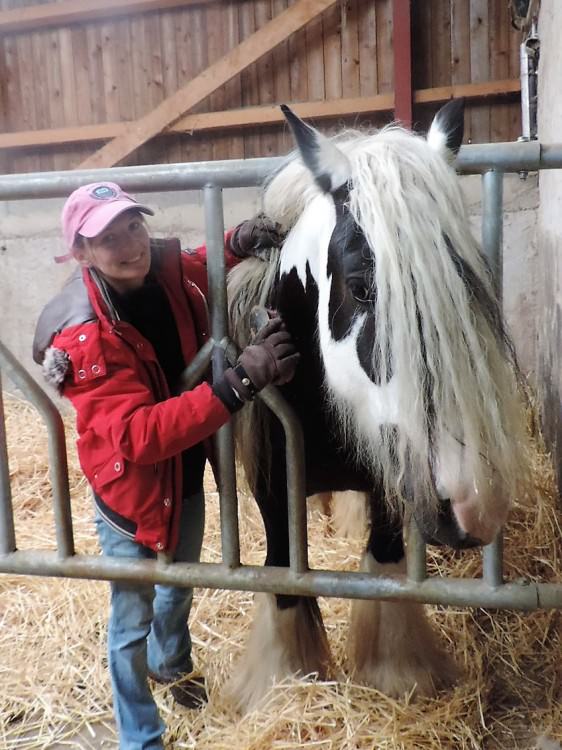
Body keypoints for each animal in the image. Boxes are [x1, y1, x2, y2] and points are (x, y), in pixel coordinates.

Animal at [223, 101, 528, 716]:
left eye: (472, 285)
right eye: (362, 287)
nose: (474, 505)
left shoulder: (393, 480)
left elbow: (385, 564)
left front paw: (397, 673)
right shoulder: (272, 491)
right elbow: (283, 574)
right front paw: (280, 683)